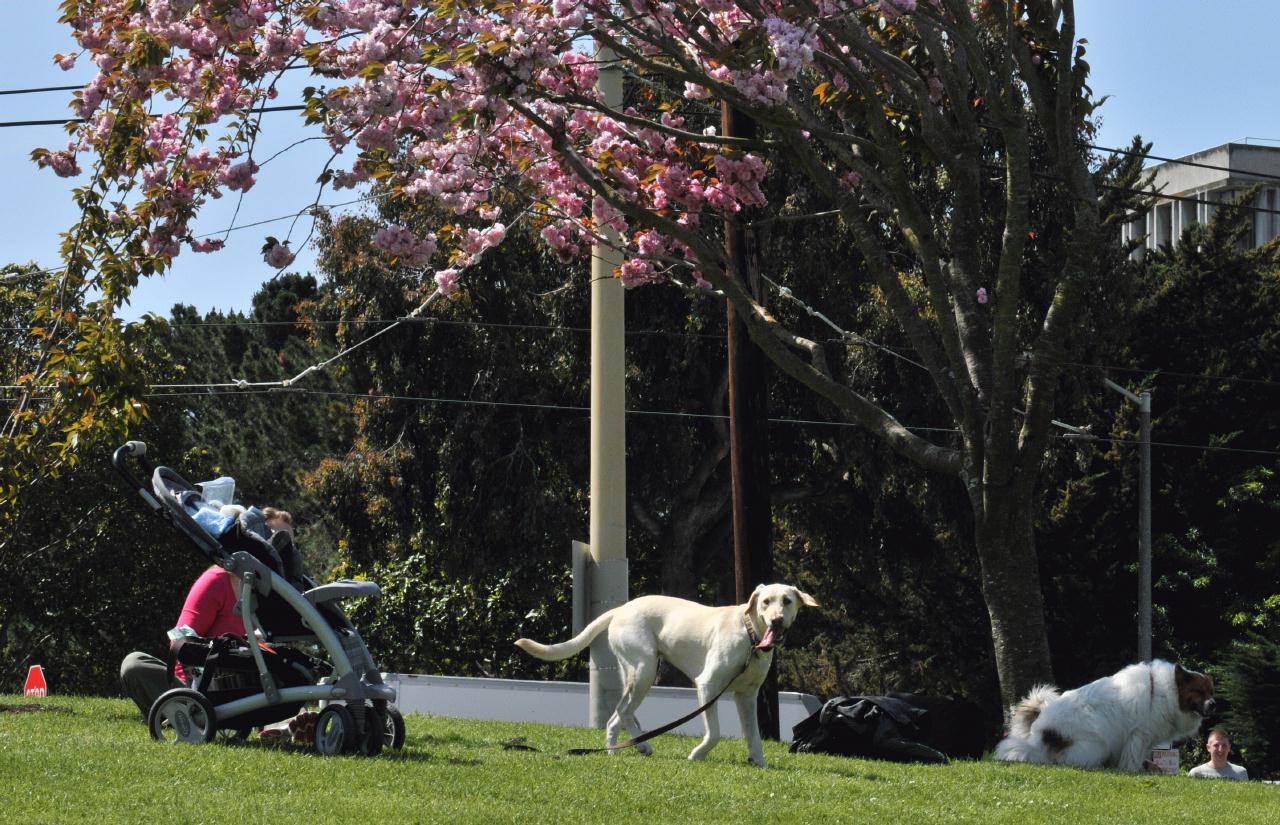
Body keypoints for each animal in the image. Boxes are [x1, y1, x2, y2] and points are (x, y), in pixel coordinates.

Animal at [512, 578, 819, 767]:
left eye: (787, 601)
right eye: (765, 602)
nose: (777, 620)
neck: (750, 635)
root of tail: (620, 608)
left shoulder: (747, 695)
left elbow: (753, 734)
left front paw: (759, 762)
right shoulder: (707, 686)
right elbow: (715, 733)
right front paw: (697, 755)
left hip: (634, 673)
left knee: (618, 715)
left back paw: (624, 747)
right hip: (645, 669)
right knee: (621, 712)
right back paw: (632, 747)